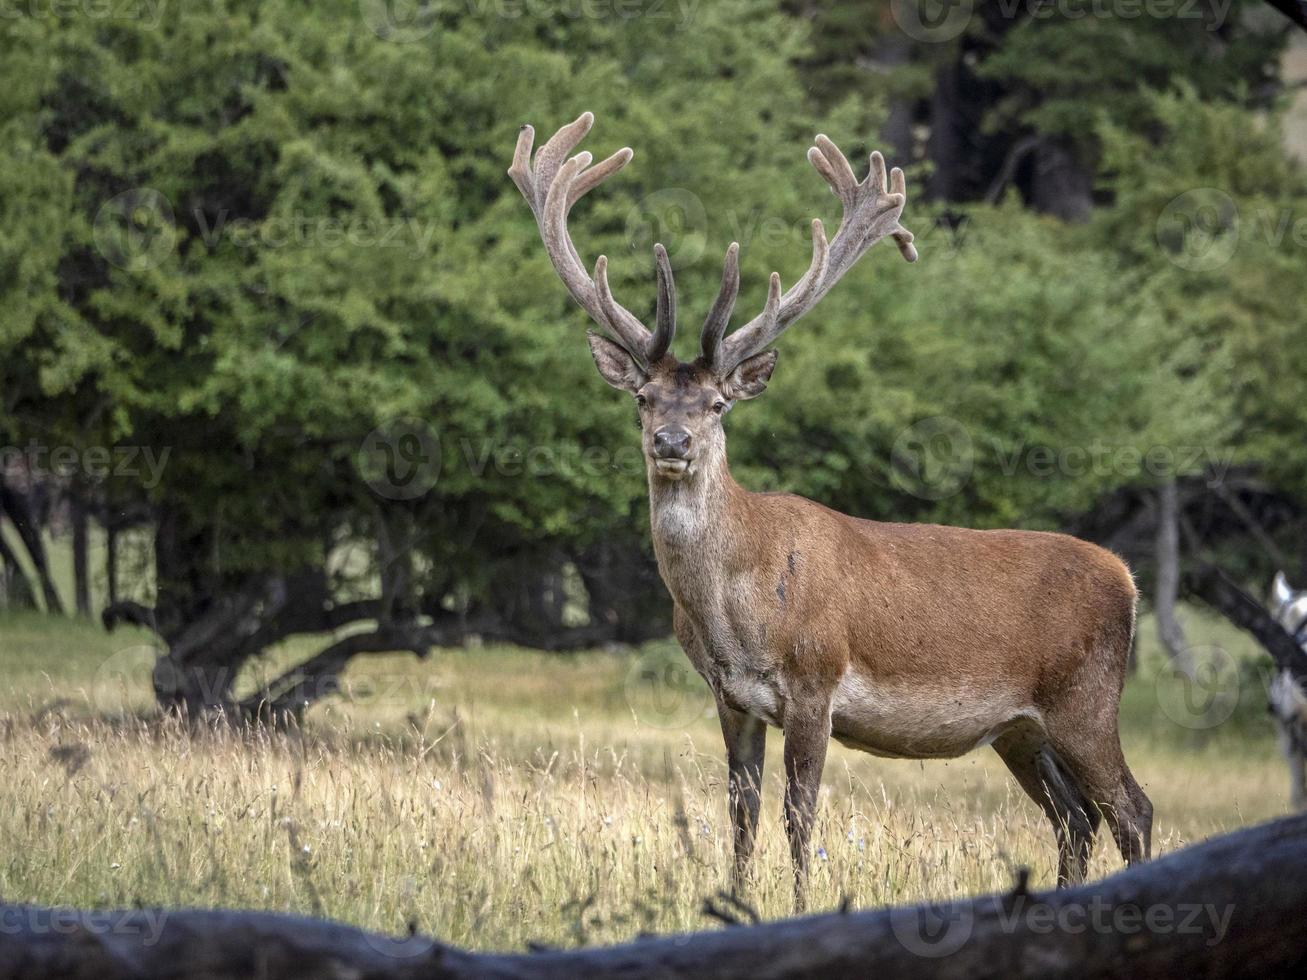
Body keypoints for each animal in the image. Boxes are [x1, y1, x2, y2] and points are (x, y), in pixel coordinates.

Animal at [504, 113, 1150, 904]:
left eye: (717, 404)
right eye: (643, 397)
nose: (671, 442)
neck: (732, 609)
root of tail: (1127, 579)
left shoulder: (815, 683)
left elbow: (798, 815)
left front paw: (799, 905)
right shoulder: (730, 698)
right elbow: (741, 812)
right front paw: (734, 900)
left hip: (1086, 698)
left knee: (1131, 810)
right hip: (1020, 729)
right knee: (1075, 819)